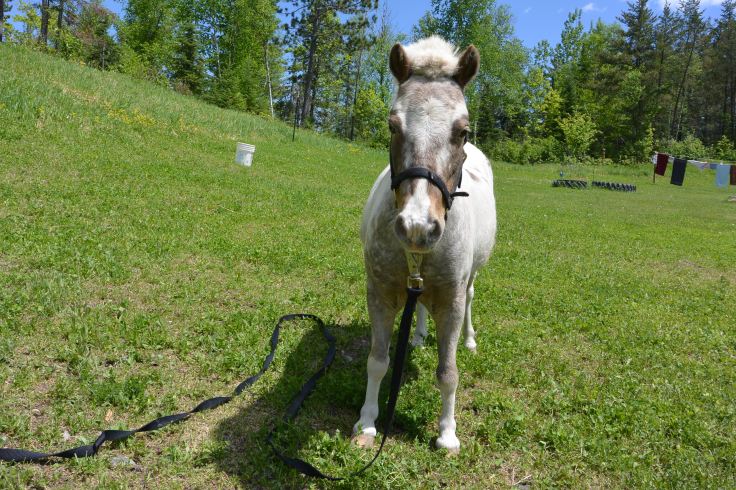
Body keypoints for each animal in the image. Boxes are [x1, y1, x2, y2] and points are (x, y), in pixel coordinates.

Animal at [352, 36, 497, 453]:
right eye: (392, 125)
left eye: (462, 131)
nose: (418, 226)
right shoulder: (380, 292)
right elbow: (377, 361)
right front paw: (367, 422)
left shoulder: (450, 299)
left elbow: (448, 373)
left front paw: (447, 433)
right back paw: (416, 336)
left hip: (471, 279)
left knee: (472, 297)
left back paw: (470, 340)